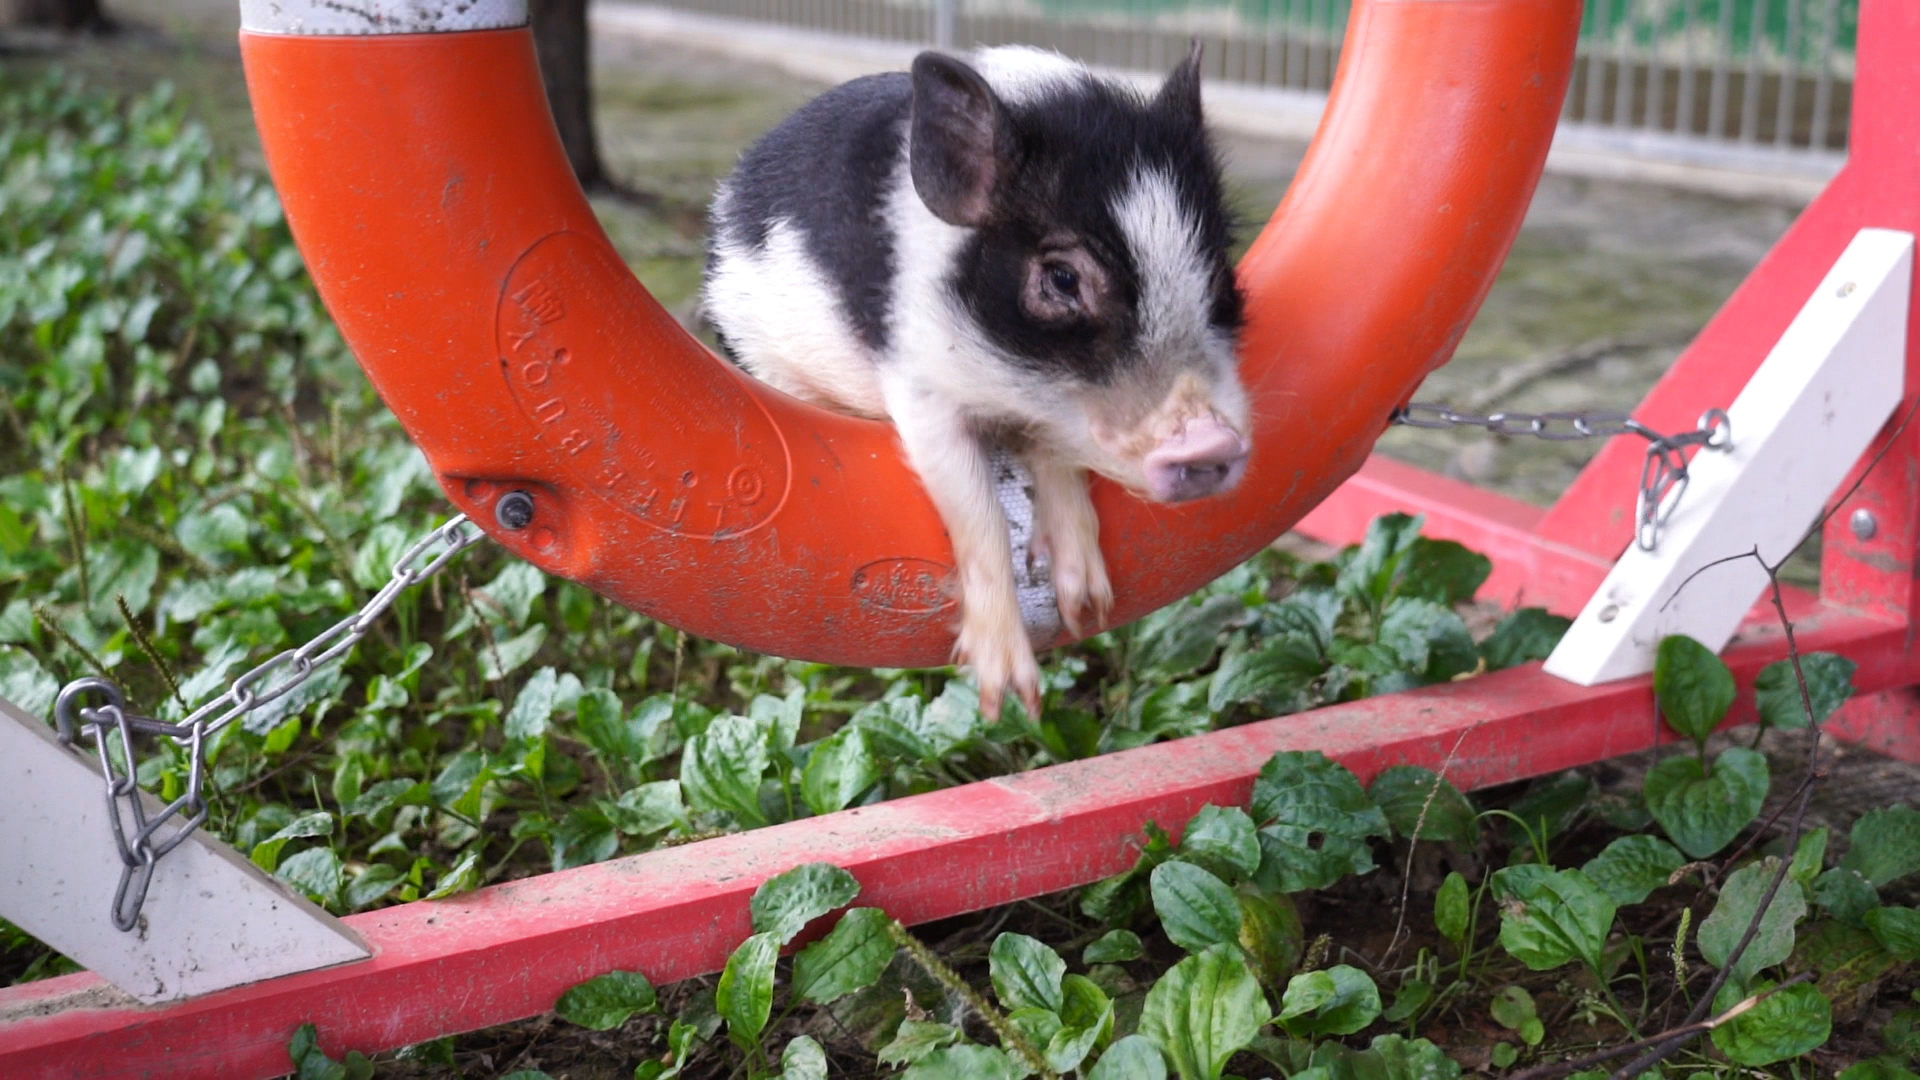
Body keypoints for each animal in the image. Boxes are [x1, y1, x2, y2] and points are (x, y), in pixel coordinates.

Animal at [706, 42, 1259, 718]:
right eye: (1063, 279)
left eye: (1219, 275)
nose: (1211, 440)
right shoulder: (921, 389)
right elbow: (975, 508)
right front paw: (1010, 698)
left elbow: (1053, 456)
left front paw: (1086, 604)